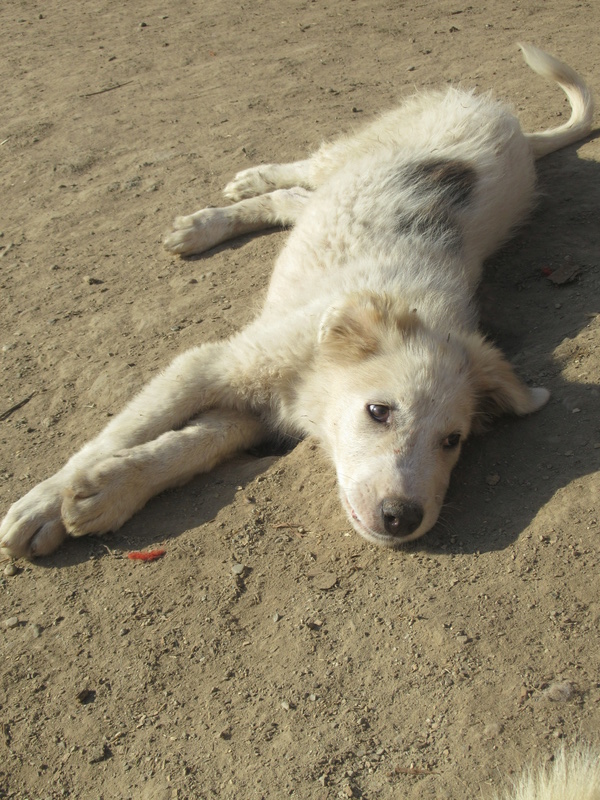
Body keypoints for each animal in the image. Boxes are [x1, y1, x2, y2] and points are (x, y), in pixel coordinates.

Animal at [0, 43, 592, 556]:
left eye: (453, 441)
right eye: (378, 411)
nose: (402, 518)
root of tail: (516, 128)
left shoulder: (256, 410)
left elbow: (191, 444)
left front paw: (104, 494)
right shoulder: (211, 363)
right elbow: (118, 433)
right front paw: (39, 508)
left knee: (296, 201)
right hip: (358, 147)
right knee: (298, 174)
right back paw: (219, 208)